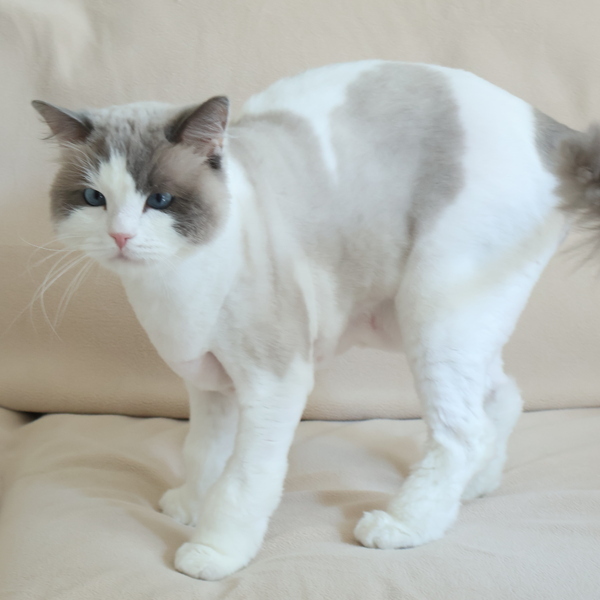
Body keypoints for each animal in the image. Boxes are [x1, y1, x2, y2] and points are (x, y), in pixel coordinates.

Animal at [32, 60, 600, 580]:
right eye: (94, 199)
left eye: (160, 200)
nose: (121, 236)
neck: (168, 291)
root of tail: (551, 127)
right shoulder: (210, 384)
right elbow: (203, 454)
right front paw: (192, 506)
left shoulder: (273, 382)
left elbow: (244, 479)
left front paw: (214, 551)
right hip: (437, 325)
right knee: (501, 398)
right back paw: (478, 487)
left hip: (432, 315)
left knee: (461, 431)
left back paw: (404, 525)